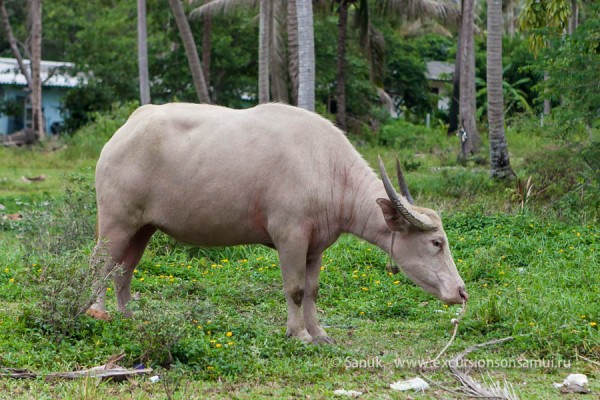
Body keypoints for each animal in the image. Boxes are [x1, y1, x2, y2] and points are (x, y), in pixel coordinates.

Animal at [89, 102, 466, 344]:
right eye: (437, 243)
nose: (461, 291)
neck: (328, 168)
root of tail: (124, 132)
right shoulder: (291, 237)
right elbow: (295, 289)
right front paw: (298, 334)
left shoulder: (316, 246)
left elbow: (313, 290)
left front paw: (319, 333)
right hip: (116, 221)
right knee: (100, 264)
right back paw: (97, 313)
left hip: (144, 227)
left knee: (124, 269)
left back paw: (129, 318)